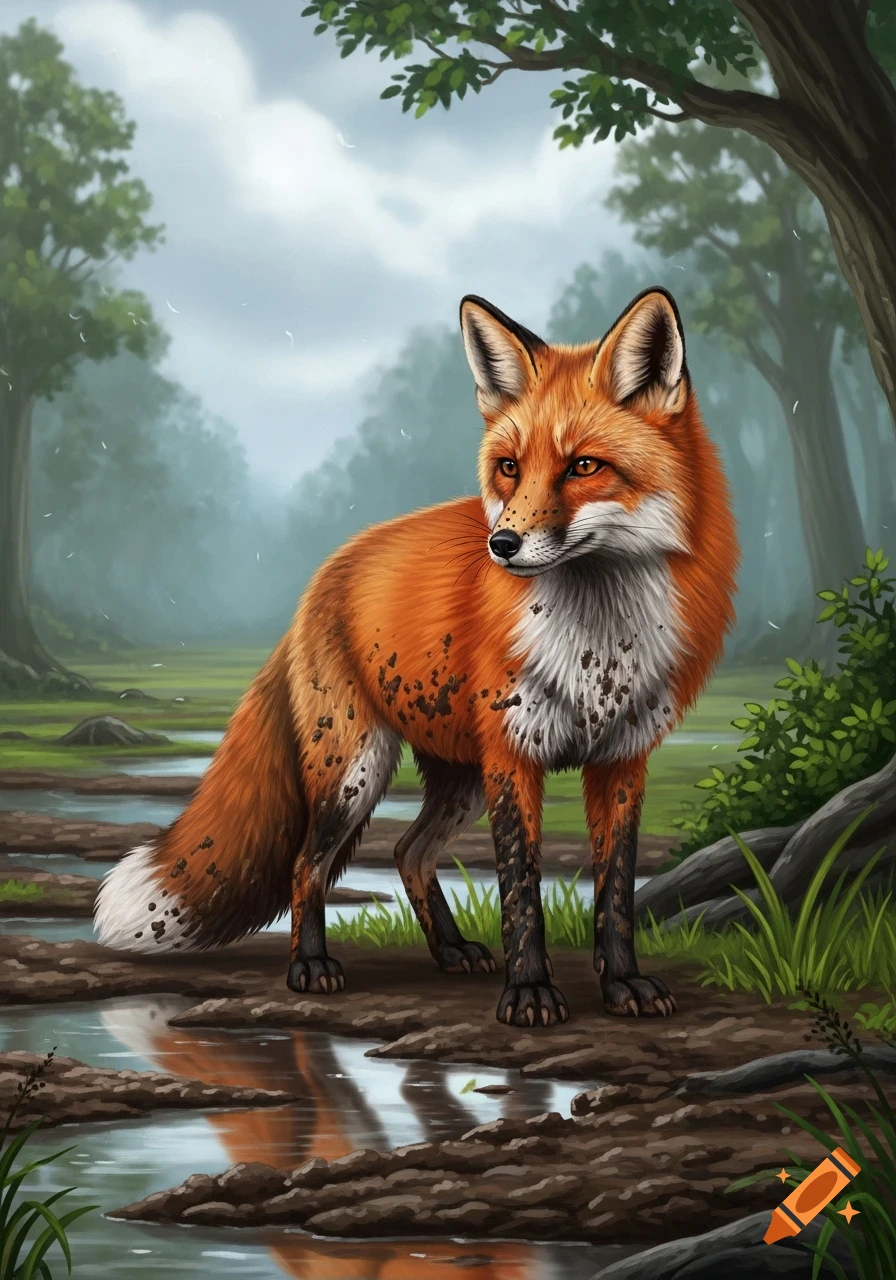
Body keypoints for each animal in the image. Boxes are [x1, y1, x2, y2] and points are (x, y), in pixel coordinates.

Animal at [95, 286, 738, 1027]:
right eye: (510, 467)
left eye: (584, 466)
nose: (502, 544)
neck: (597, 645)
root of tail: (324, 575)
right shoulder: (514, 757)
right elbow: (522, 891)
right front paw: (528, 993)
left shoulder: (622, 760)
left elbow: (616, 890)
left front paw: (623, 983)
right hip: (357, 769)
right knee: (307, 865)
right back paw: (310, 966)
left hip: (459, 776)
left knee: (407, 852)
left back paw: (451, 950)